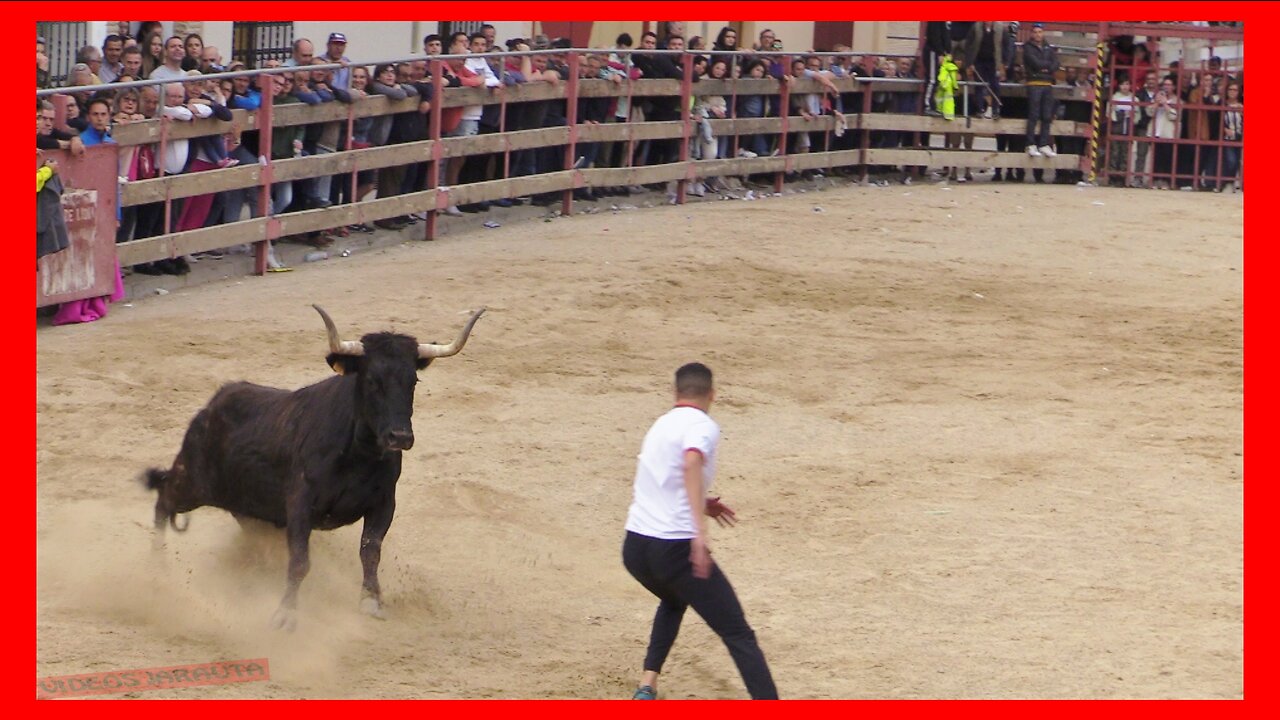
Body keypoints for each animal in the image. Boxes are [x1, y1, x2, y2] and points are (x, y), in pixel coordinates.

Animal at [142, 302, 486, 627]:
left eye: (412, 381)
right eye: (371, 380)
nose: (399, 436)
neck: (358, 457)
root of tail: (210, 407)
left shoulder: (384, 502)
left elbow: (370, 551)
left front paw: (371, 601)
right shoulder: (300, 502)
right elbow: (299, 560)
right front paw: (285, 613)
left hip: (248, 509)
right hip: (192, 482)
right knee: (163, 498)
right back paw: (157, 571)